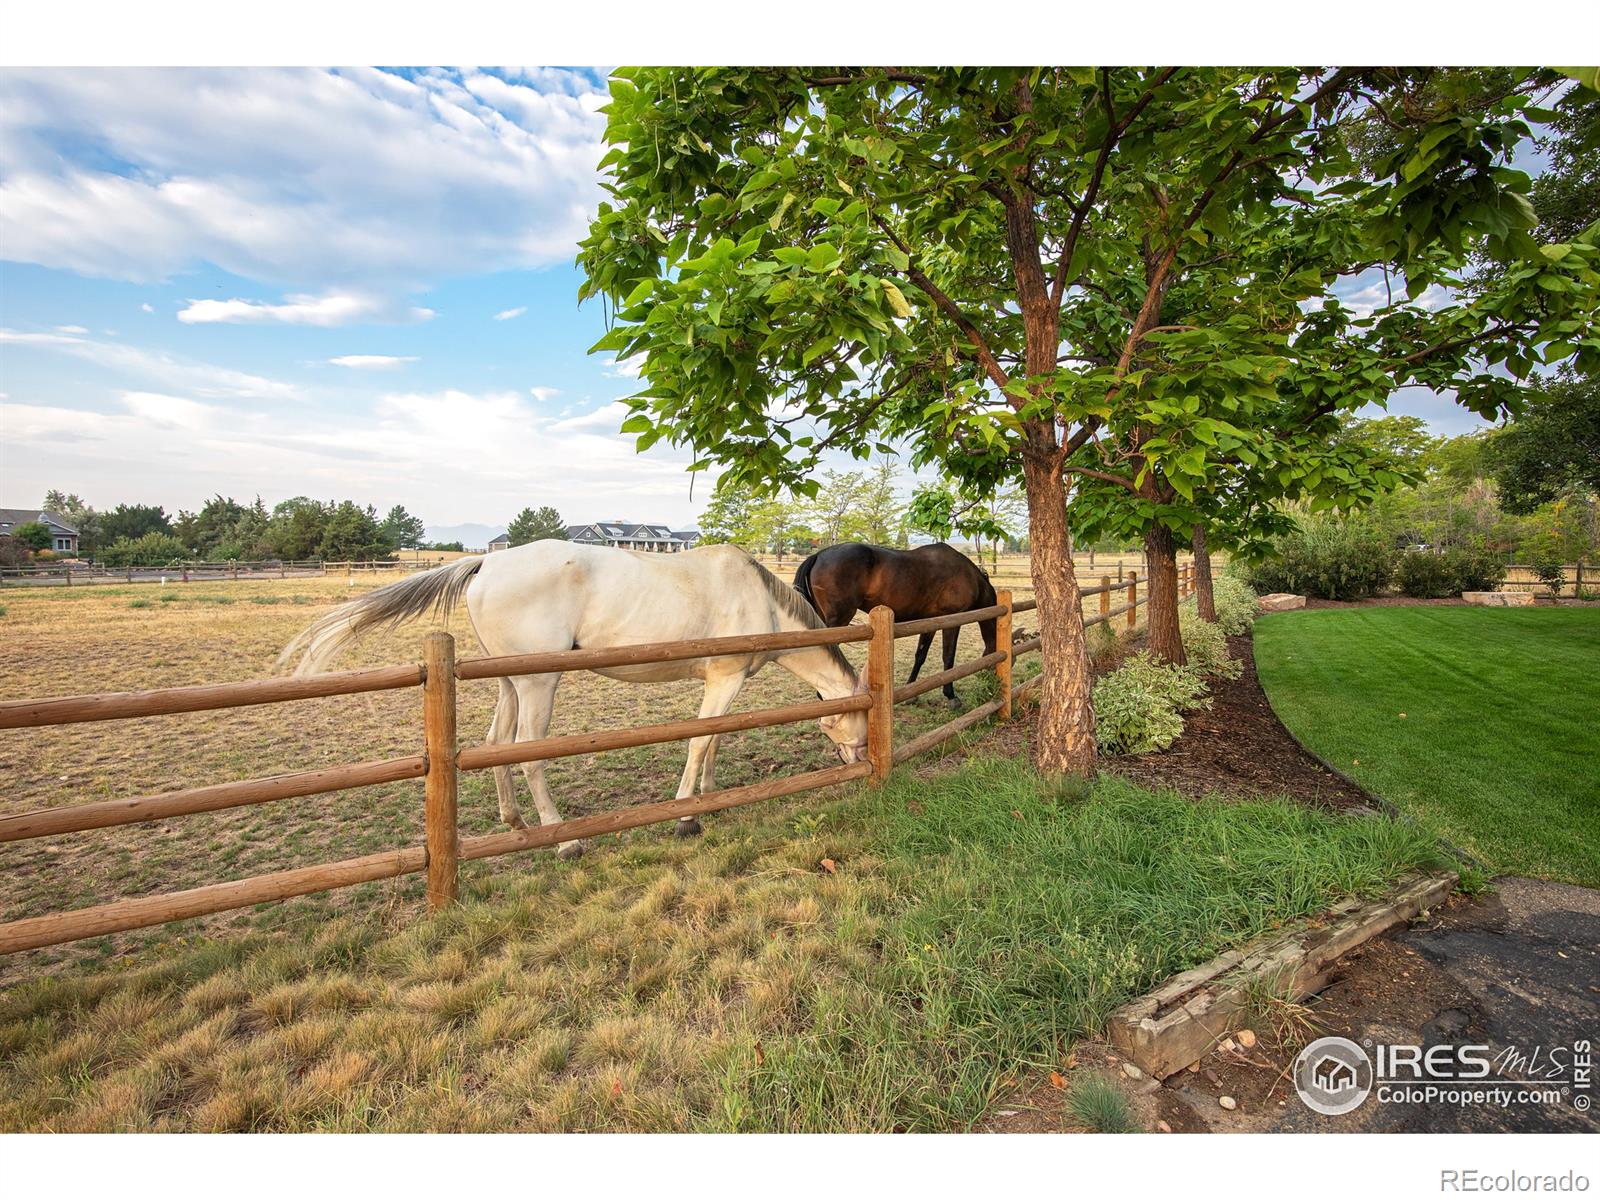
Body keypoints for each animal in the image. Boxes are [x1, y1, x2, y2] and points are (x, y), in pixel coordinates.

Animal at [281, 540, 870, 857]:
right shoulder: (722, 680)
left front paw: (710, 795)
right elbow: (700, 741)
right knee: (529, 752)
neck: (759, 603)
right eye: (861, 725)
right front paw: (687, 817)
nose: (858, 763)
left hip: (510, 683)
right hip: (539, 685)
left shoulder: (730, 683)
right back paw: (563, 839)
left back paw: (517, 824)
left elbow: (716, 740)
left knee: (497, 743)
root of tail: (487, 564)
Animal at [793, 544, 992, 704]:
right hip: (838, 620)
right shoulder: (952, 621)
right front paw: (950, 696)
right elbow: (948, 657)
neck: (966, 574)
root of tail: (819, 555)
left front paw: (912, 694)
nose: (989, 685)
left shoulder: (929, 622)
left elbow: (920, 656)